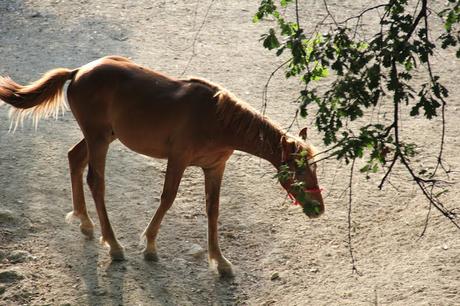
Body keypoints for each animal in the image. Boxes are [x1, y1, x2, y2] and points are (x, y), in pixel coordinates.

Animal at [0, 55, 324, 278]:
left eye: (314, 169)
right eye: (298, 171)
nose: (318, 209)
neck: (217, 119)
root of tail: (77, 72)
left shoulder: (215, 168)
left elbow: (213, 210)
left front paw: (220, 262)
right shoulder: (178, 159)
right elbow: (168, 198)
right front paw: (150, 246)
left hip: (101, 137)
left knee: (74, 159)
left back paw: (85, 223)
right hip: (99, 139)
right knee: (96, 181)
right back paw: (114, 245)